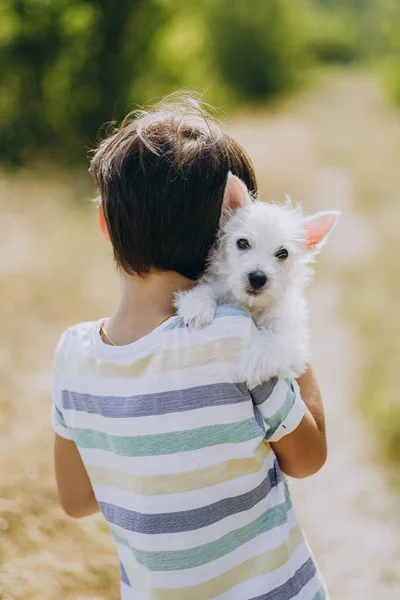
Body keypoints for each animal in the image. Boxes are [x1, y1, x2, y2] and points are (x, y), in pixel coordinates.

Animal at [173, 173, 340, 390]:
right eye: (242, 243)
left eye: (283, 253)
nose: (257, 278)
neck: (252, 306)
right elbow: (211, 288)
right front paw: (197, 305)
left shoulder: (294, 341)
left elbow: (275, 341)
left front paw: (252, 366)